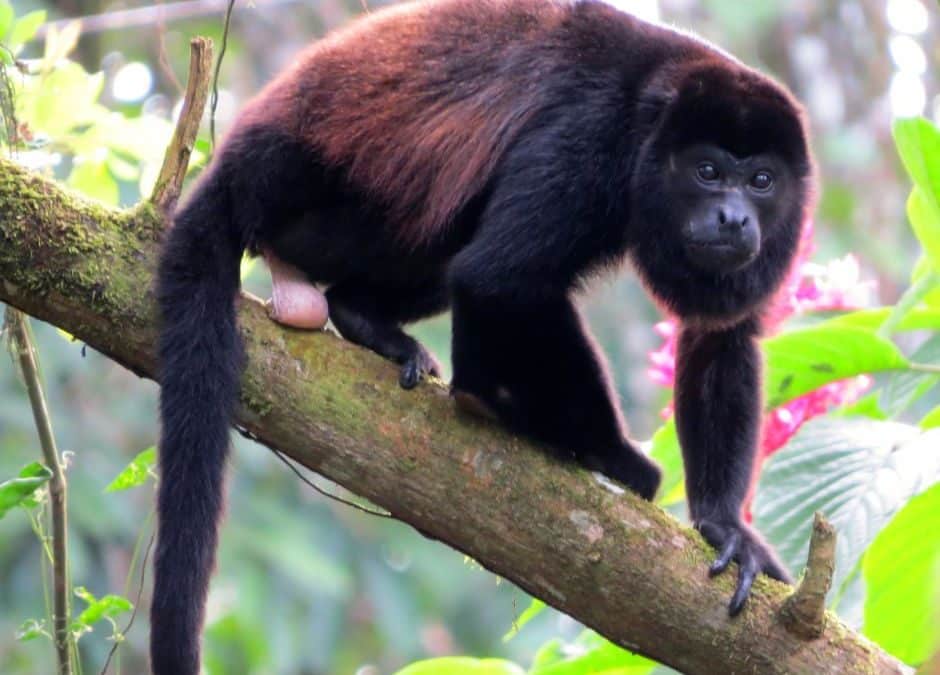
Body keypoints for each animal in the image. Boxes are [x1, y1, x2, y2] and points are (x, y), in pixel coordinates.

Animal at [152, 0, 814, 672]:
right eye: (707, 171)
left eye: (761, 180)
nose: (733, 218)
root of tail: (237, 162)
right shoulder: (589, 140)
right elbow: (498, 277)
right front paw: (611, 454)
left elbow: (722, 336)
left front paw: (724, 526)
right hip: (313, 203)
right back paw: (488, 396)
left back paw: (370, 322)